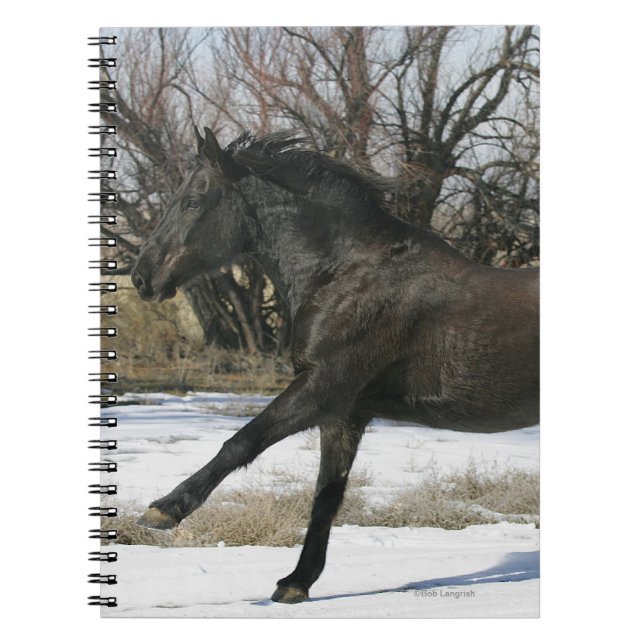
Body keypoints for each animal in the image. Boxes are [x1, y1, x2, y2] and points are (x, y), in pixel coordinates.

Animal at [131, 127, 539, 603]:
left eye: (194, 201)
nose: (142, 277)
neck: (345, 273)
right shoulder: (345, 415)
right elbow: (327, 494)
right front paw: (295, 582)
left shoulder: (323, 387)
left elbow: (241, 442)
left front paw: (163, 511)